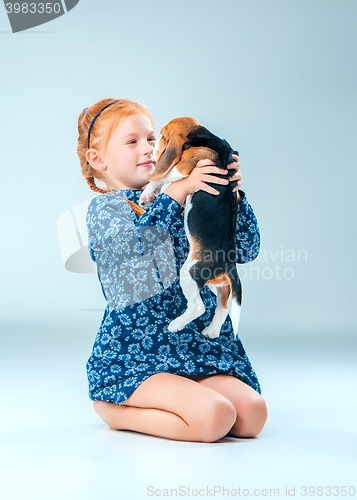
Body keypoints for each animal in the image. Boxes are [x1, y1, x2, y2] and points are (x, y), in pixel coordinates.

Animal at [139, 115, 242, 338]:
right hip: (221, 286)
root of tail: (229, 264)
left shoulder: (187, 165)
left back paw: (176, 324)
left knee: (198, 307)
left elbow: (163, 176)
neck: (206, 139)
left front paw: (148, 191)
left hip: (189, 273)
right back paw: (211, 331)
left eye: (162, 136)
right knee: (222, 308)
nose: (152, 148)